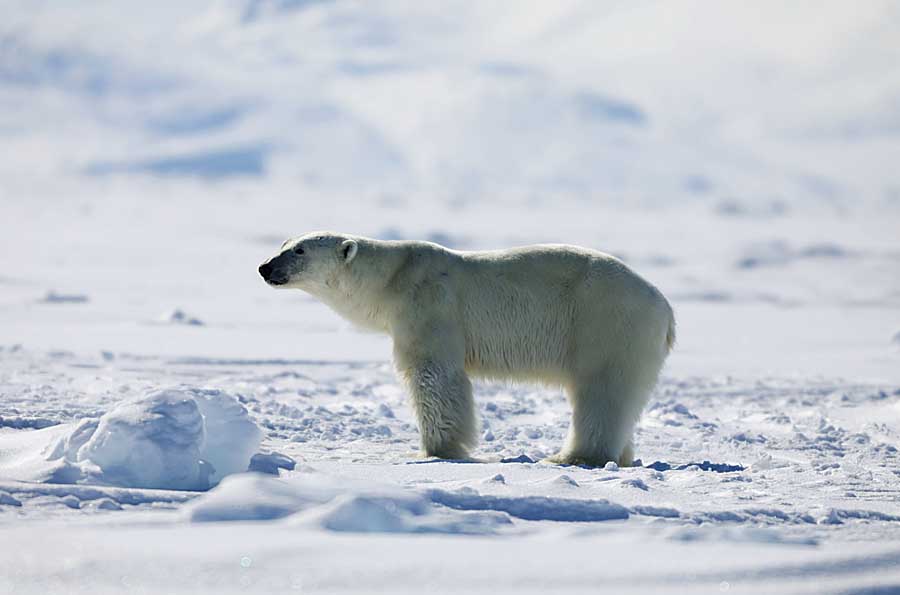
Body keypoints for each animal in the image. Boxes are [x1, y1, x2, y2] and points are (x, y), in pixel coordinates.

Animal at [256, 230, 672, 468]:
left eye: (299, 251)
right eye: (283, 244)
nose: (264, 267)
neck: (392, 278)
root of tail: (665, 309)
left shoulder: (429, 305)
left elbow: (434, 374)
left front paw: (436, 450)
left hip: (606, 324)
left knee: (601, 391)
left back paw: (573, 456)